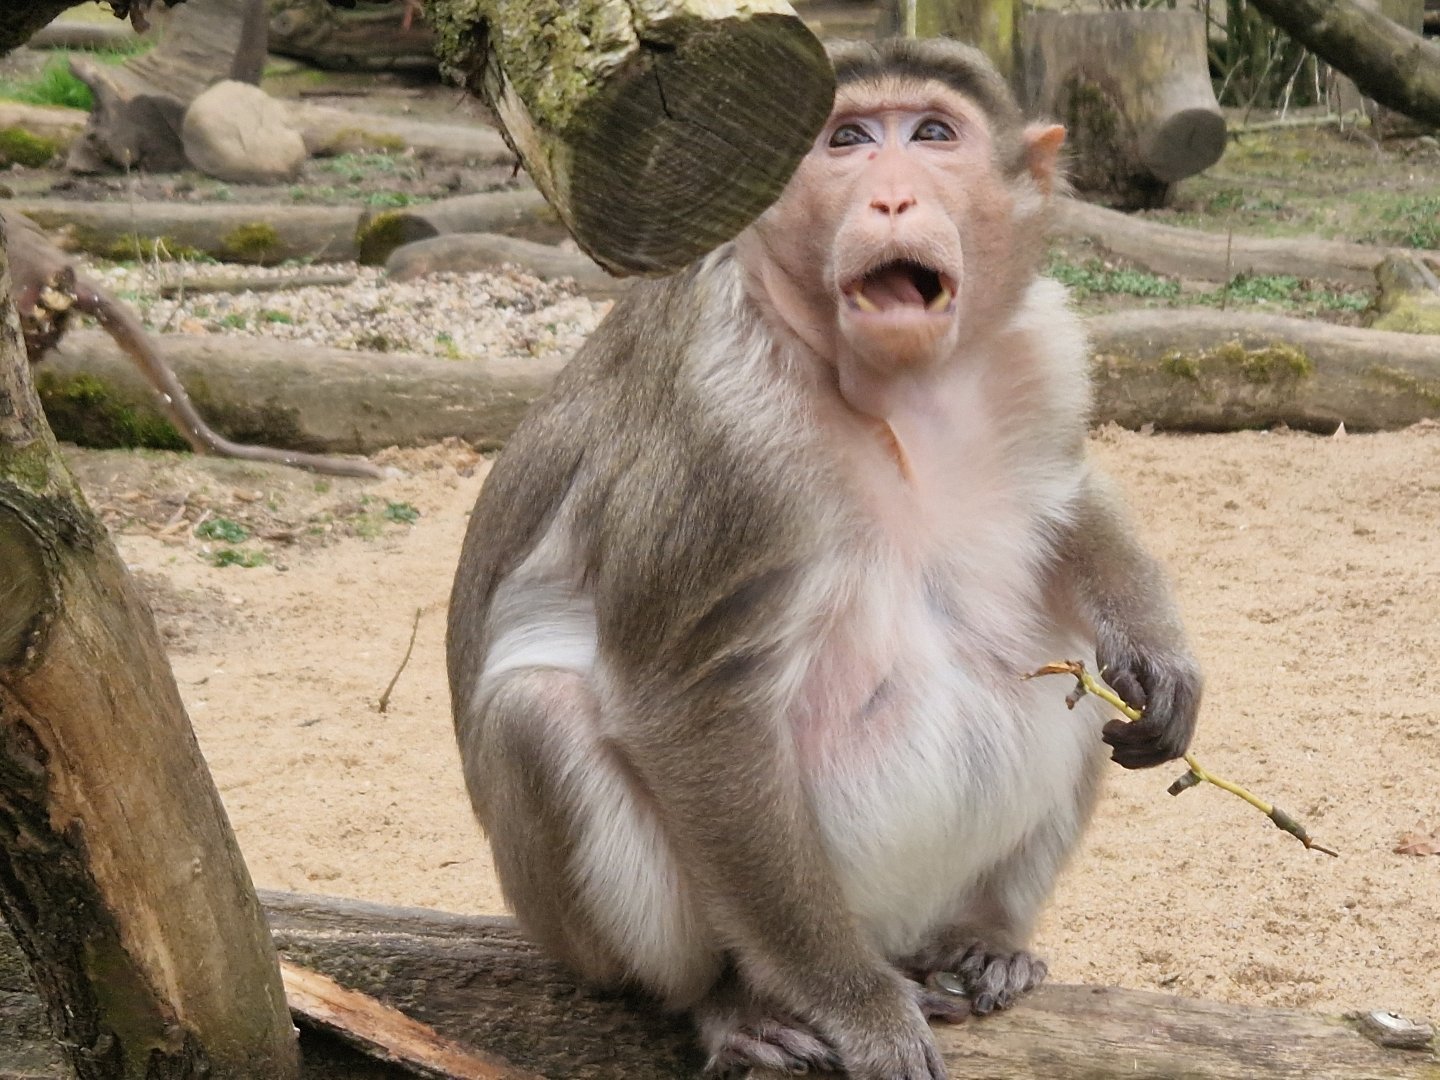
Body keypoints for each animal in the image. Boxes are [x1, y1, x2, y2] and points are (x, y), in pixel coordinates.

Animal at [447, 37, 1201, 1079]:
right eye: (846, 140)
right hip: (600, 931)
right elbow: (688, 705)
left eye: (932, 133)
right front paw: (858, 1010)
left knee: (1073, 659)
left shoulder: (1039, 348)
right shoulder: (729, 435)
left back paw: (985, 937)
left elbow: (1068, 501)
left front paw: (1160, 653)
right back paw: (730, 1000)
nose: (891, 198)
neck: (895, 393)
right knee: (539, 713)